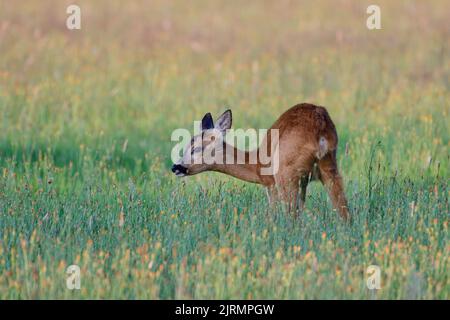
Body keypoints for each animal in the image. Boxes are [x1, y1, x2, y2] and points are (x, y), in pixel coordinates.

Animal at [171, 102, 350, 220]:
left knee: (291, 217)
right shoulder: (304, 182)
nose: (176, 167)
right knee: (345, 212)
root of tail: (320, 125)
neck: (256, 163)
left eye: (196, 148)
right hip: (329, 167)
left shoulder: (269, 183)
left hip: (285, 174)